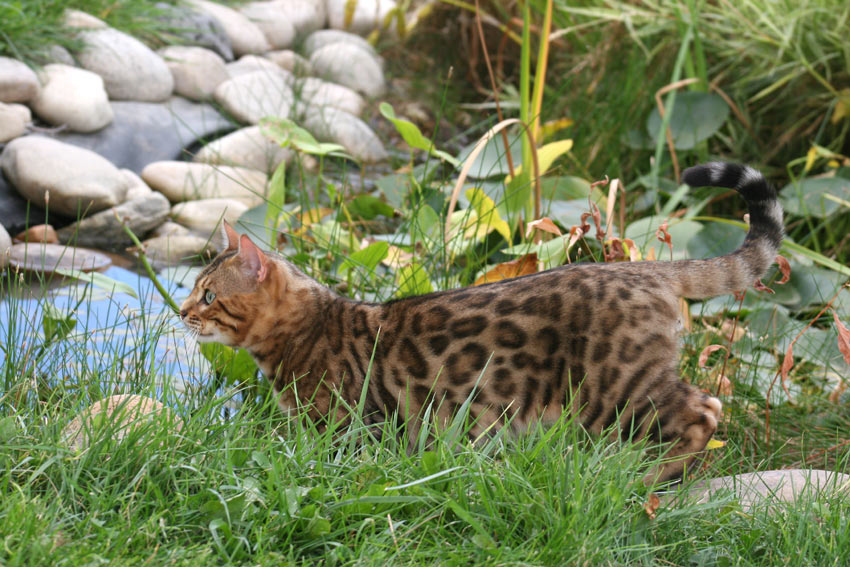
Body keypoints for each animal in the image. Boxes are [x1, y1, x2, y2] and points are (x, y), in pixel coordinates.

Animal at [179, 163, 780, 484]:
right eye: (190, 287)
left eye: (208, 295)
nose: (180, 313)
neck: (304, 328)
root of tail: (644, 267)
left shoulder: (347, 426)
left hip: (618, 388)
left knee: (705, 408)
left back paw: (646, 477)